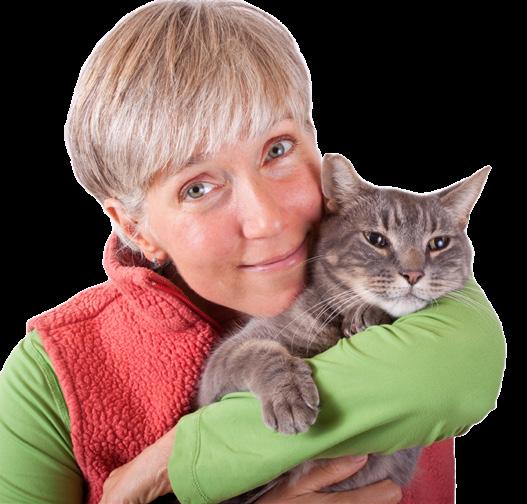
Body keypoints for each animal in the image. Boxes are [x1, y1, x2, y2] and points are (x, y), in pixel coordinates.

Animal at [164, 153, 491, 504]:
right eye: (376, 239)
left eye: (438, 243)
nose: (413, 274)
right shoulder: (224, 363)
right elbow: (260, 353)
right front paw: (289, 395)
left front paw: (367, 314)